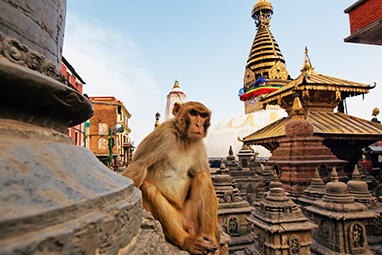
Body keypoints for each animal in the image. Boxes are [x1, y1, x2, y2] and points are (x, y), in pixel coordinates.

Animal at [122, 101, 221, 255]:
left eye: (203, 115)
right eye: (193, 113)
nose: (198, 125)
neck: (184, 139)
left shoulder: (199, 145)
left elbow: (201, 173)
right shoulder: (162, 134)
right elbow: (138, 167)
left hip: (193, 218)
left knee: (203, 175)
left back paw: (210, 239)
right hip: (176, 219)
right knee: (147, 188)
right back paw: (187, 241)